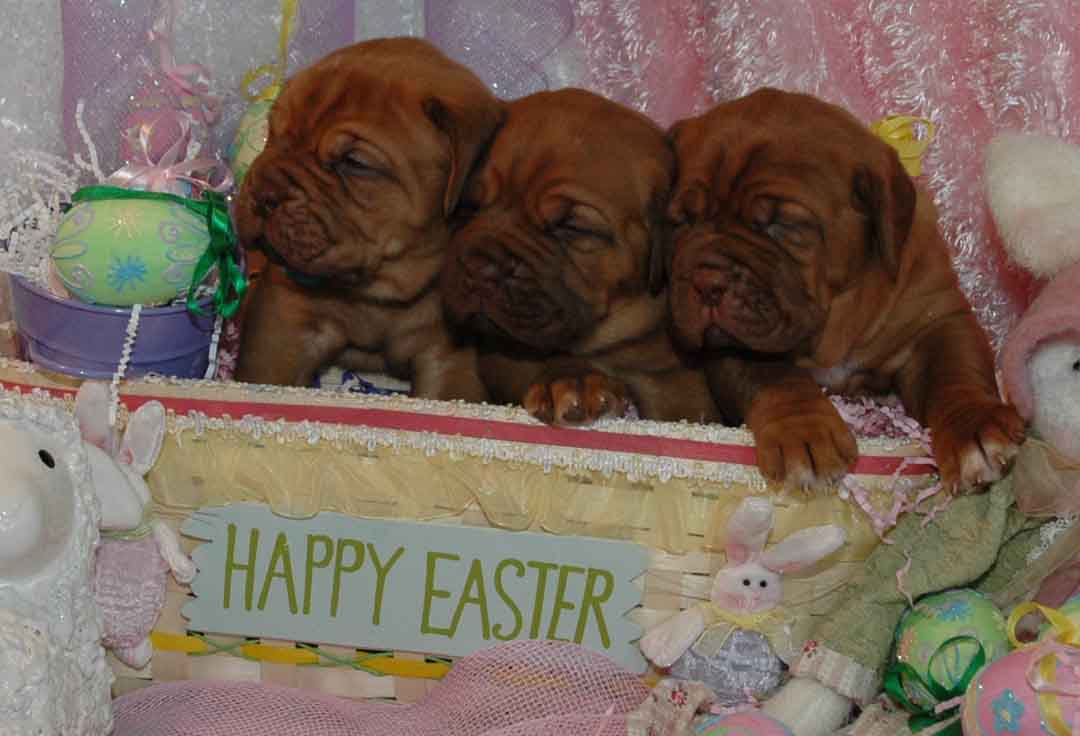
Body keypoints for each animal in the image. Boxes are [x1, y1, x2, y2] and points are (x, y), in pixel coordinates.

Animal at [233, 38, 502, 401]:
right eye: (273, 134)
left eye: (354, 162)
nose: (264, 193)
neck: (377, 289)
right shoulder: (283, 320)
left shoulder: (449, 357)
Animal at [440, 88, 719, 425]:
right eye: (470, 208)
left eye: (571, 227)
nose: (480, 268)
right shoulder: (502, 356)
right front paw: (573, 379)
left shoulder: (680, 385)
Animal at [666, 88, 1024, 492]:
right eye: (681, 221)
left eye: (783, 224)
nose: (706, 282)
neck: (833, 321)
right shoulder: (732, 345)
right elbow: (777, 380)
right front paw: (802, 434)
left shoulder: (938, 318)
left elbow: (953, 372)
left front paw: (973, 431)